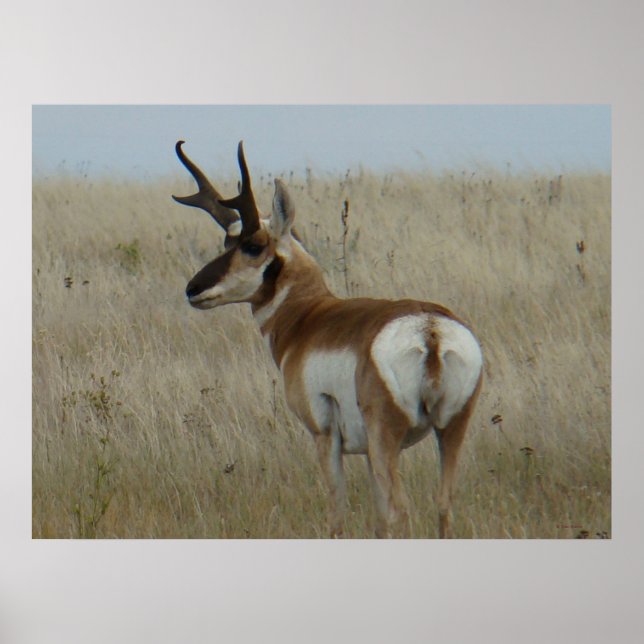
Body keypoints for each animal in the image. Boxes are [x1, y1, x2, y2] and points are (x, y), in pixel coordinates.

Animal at [172, 140, 483, 538]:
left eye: (253, 245)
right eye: (227, 240)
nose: (193, 289)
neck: (310, 317)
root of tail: (429, 330)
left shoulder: (325, 437)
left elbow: (337, 513)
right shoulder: (367, 452)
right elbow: (378, 519)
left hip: (387, 438)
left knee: (399, 510)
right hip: (450, 430)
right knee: (442, 506)